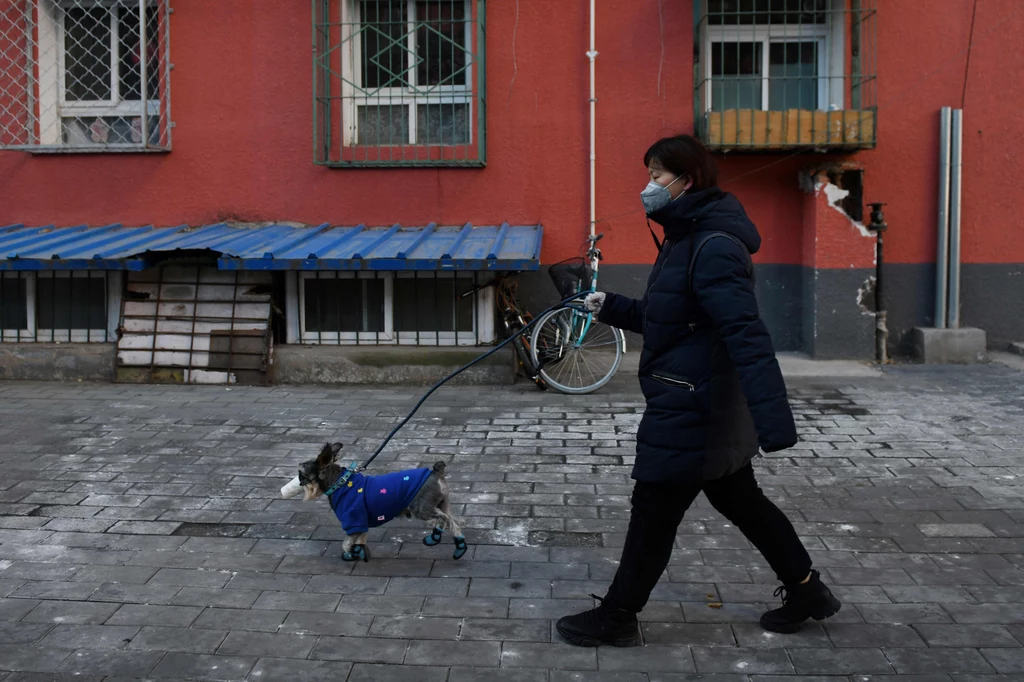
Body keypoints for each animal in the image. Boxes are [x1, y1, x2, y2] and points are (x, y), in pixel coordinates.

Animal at [288, 438, 464, 561]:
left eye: (301, 472)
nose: (298, 480)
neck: (340, 483)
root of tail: (435, 473)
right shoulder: (360, 524)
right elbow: (358, 540)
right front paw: (360, 553)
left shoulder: (354, 519)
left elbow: (346, 542)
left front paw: (350, 554)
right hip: (443, 503)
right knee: (454, 524)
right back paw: (459, 547)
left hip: (421, 508)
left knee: (443, 519)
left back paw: (434, 537)